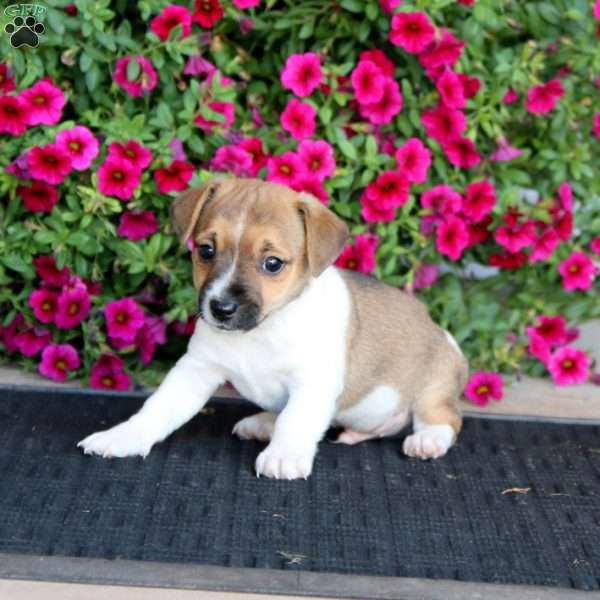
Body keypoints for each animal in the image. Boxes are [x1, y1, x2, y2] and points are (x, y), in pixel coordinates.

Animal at [79, 177, 466, 478]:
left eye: (273, 263)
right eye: (206, 250)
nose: (221, 308)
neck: (262, 330)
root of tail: (438, 329)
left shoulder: (312, 383)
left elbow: (295, 420)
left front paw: (284, 456)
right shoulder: (195, 371)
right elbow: (157, 408)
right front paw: (123, 437)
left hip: (432, 390)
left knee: (444, 417)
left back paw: (427, 439)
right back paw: (266, 423)